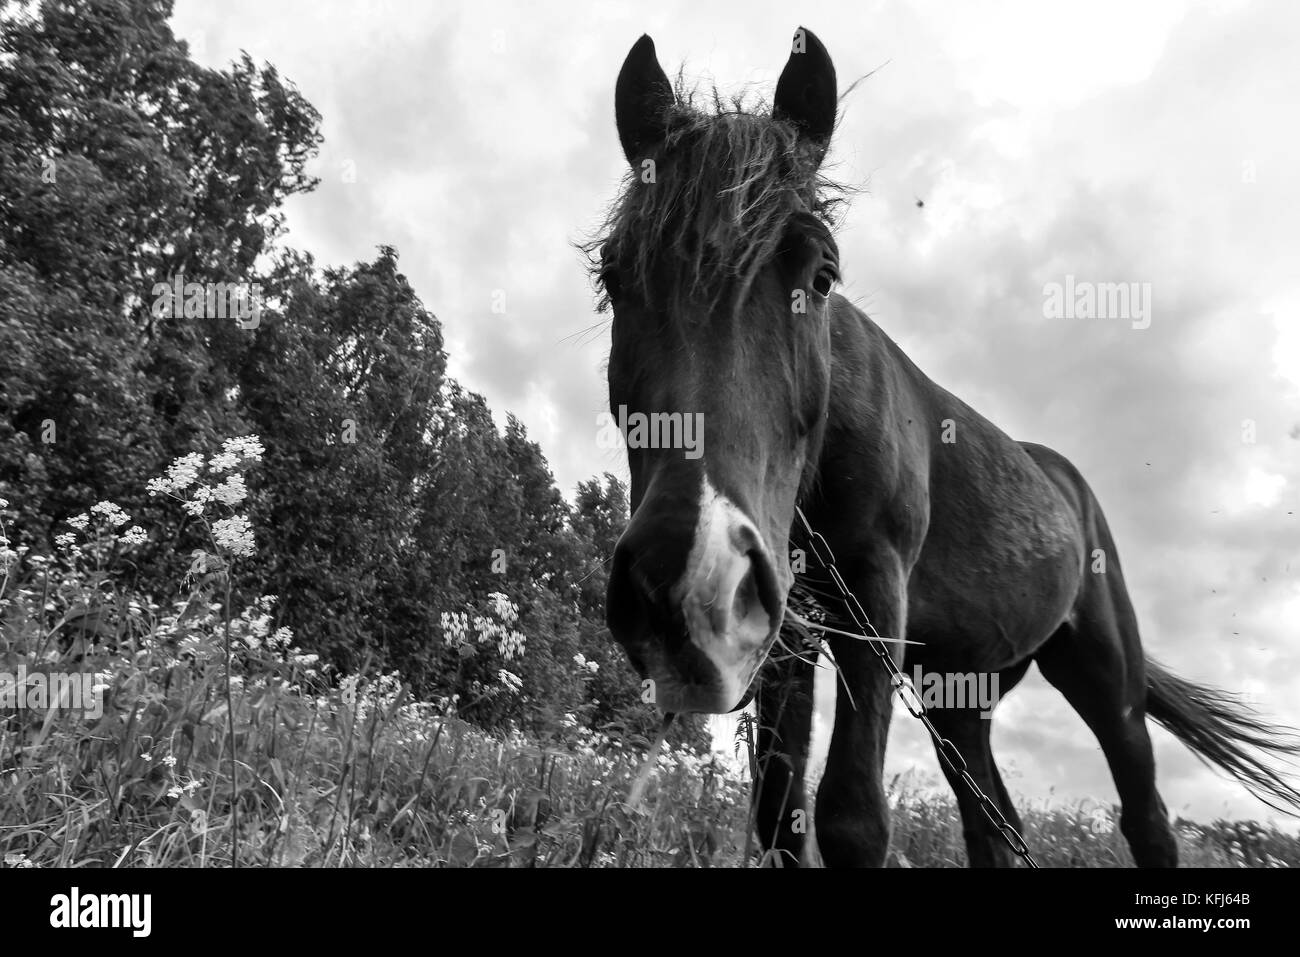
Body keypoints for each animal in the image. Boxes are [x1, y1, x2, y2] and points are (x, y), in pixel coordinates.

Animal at [593, 26, 1300, 867]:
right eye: (612, 274)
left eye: (822, 273)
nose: (689, 583)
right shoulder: (786, 628)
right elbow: (778, 814)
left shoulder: (875, 589)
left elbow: (853, 815)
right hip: (961, 689)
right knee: (993, 822)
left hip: (1106, 680)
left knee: (1146, 816)